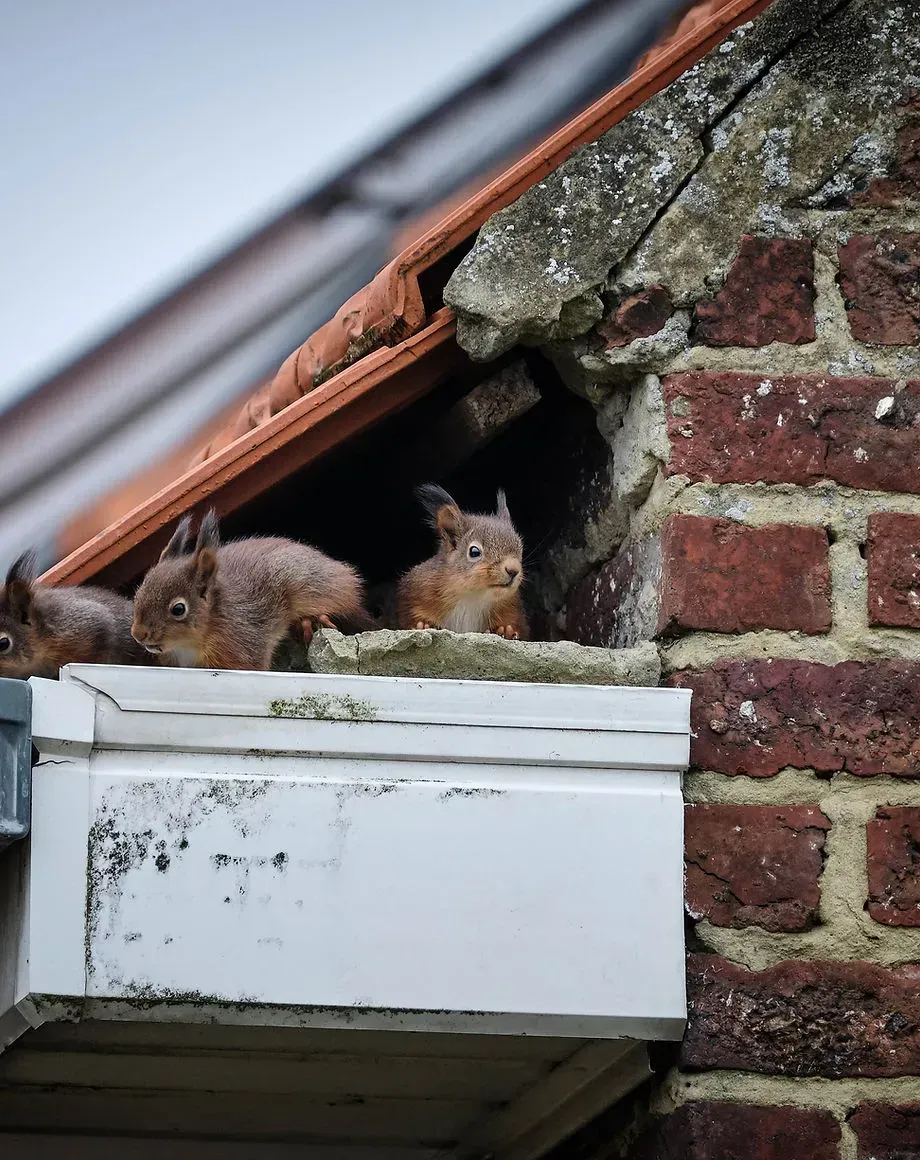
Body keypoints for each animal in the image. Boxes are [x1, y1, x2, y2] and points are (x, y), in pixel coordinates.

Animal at [397, 484, 529, 640]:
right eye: (474, 552)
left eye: (520, 548)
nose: (514, 570)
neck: (472, 596)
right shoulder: (415, 593)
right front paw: (423, 625)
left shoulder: (512, 608)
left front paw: (505, 629)